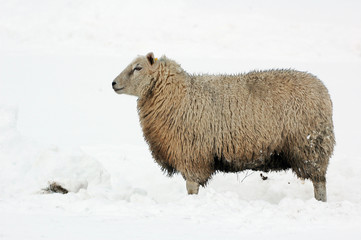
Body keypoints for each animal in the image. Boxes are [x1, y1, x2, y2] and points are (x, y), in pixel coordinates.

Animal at [111, 52, 334, 201]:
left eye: (138, 68)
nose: (113, 83)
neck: (178, 95)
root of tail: (323, 90)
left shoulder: (192, 155)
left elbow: (191, 187)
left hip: (310, 146)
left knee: (319, 181)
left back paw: (320, 203)